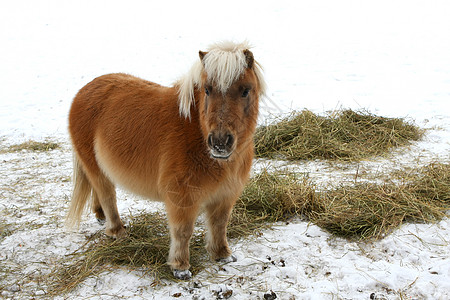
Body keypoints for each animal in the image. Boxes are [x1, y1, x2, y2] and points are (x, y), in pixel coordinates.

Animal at [65, 41, 266, 280]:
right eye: (207, 89)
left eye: (245, 90)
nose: (219, 142)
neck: (195, 132)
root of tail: (83, 91)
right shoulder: (181, 197)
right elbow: (183, 231)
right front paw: (180, 267)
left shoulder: (226, 194)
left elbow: (219, 225)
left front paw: (222, 255)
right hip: (95, 168)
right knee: (107, 196)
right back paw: (117, 231)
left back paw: (100, 216)